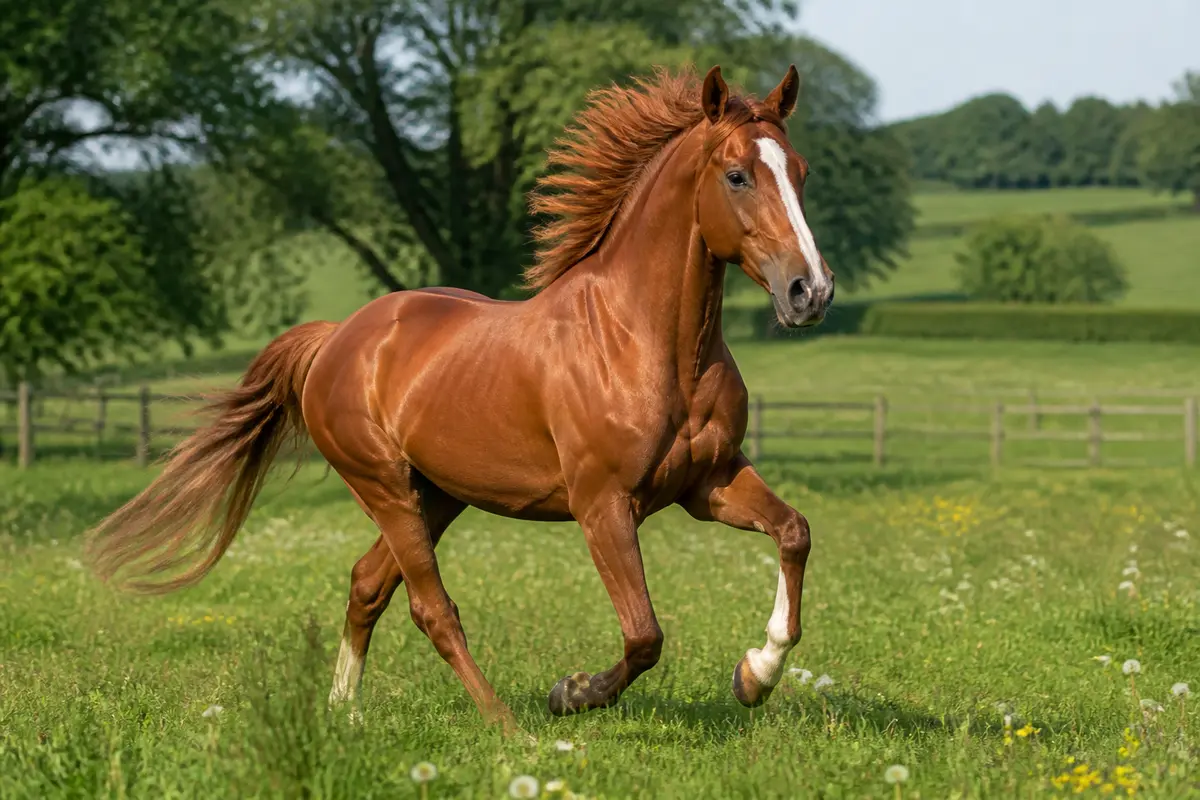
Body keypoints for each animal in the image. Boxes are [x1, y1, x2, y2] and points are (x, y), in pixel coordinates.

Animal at [85, 63, 834, 732]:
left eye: (800, 172)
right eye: (737, 175)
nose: (811, 291)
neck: (643, 343)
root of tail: (336, 339)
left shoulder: (707, 482)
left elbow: (794, 532)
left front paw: (754, 676)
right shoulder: (603, 505)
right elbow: (645, 635)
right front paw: (572, 693)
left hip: (436, 494)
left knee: (367, 584)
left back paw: (342, 713)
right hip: (385, 487)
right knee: (431, 608)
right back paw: (507, 727)